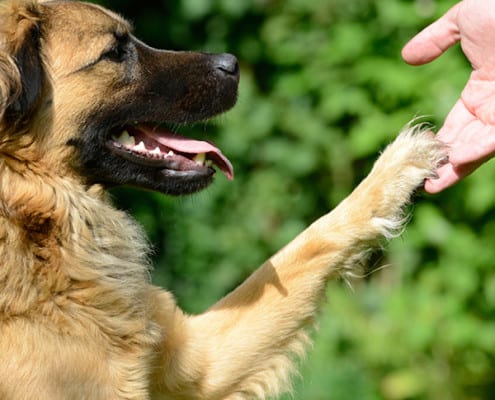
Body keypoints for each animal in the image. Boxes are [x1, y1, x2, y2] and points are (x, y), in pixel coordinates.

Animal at [0, 0, 448, 400]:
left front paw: (396, 169)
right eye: (114, 52)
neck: (43, 220)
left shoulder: (197, 360)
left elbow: (309, 242)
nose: (233, 64)